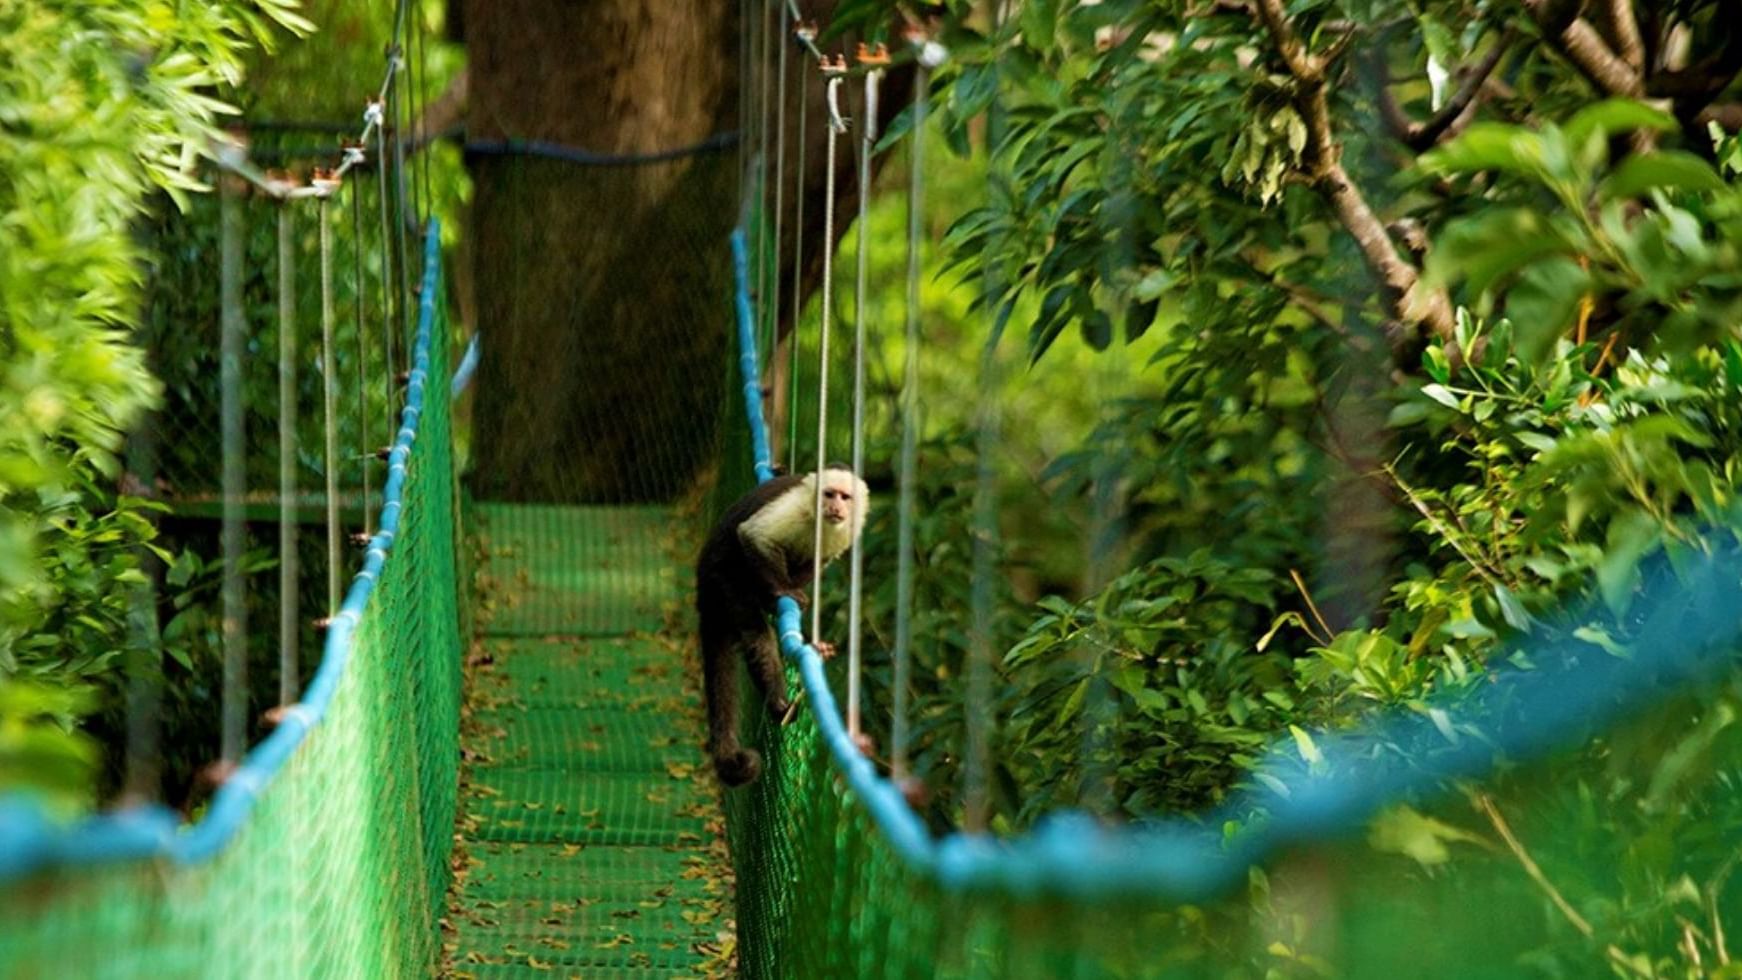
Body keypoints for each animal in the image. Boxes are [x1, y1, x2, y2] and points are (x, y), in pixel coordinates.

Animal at [693, 466, 871, 790]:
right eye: (829, 494)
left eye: (845, 497)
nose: (835, 507)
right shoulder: (798, 507)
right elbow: (754, 537)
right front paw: (783, 591)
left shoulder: (847, 532)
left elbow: (818, 562)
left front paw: (787, 592)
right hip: (721, 576)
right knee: (756, 632)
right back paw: (778, 700)